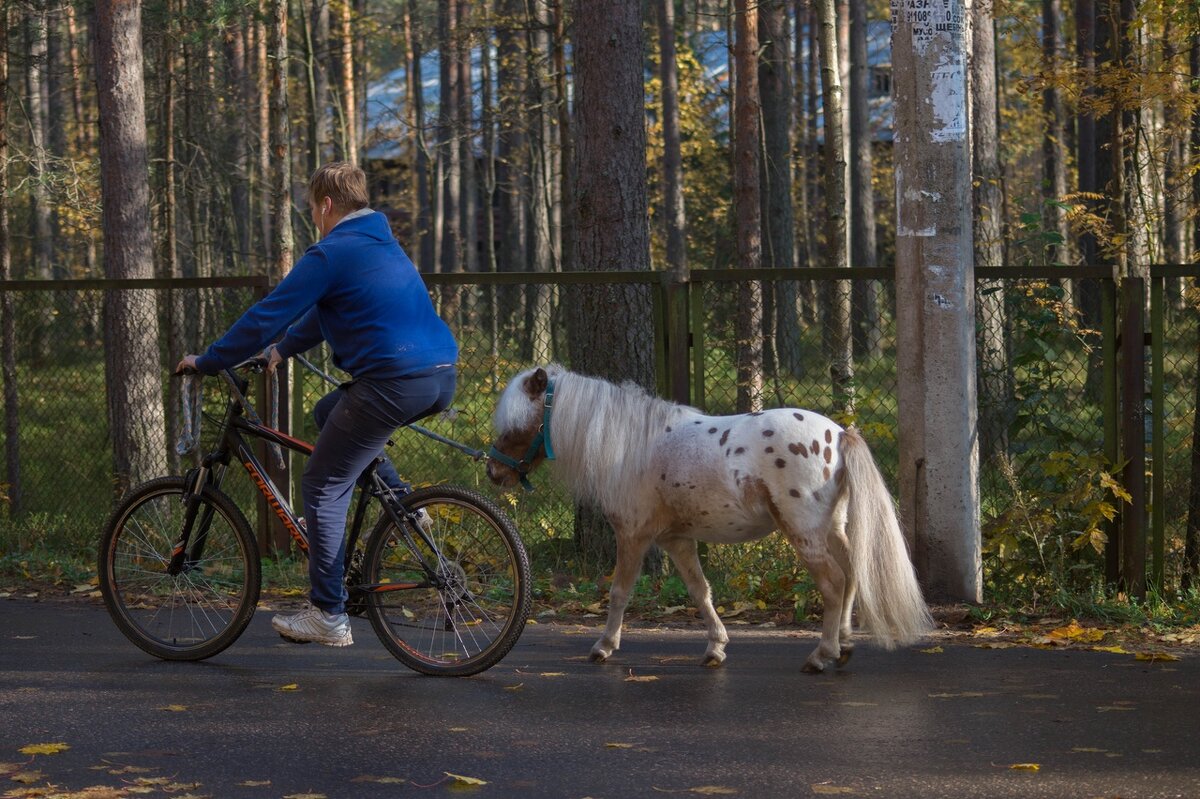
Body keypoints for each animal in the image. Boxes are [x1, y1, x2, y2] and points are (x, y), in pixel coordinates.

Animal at [482, 364, 931, 667]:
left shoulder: (633, 536)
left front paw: (604, 646)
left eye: (516, 426)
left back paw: (821, 655)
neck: (630, 447)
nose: (494, 473)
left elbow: (619, 593)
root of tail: (839, 434)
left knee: (834, 584)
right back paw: (844, 645)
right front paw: (716, 647)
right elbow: (701, 592)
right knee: (853, 574)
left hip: (805, 533)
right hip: (832, 529)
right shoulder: (677, 540)